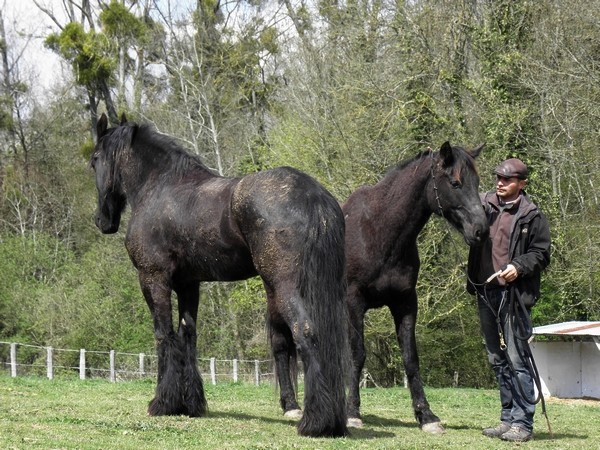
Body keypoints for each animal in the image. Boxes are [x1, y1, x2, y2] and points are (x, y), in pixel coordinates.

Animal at [91, 114, 350, 438]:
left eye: (94, 159)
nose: (102, 220)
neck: (159, 187)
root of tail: (313, 195)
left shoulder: (154, 278)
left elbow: (164, 335)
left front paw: (162, 403)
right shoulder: (189, 284)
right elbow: (187, 335)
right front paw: (190, 403)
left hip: (286, 287)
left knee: (306, 332)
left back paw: (315, 421)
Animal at [274, 141, 490, 432]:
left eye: (476, 182)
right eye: (455, 182)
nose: (481, 230)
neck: (380, 231)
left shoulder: (405, 302)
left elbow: (410, 358)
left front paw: (426, 415)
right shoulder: (353, 302)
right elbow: (357, 354)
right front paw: (353, 412)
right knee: (281, 347)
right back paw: (291, 406)